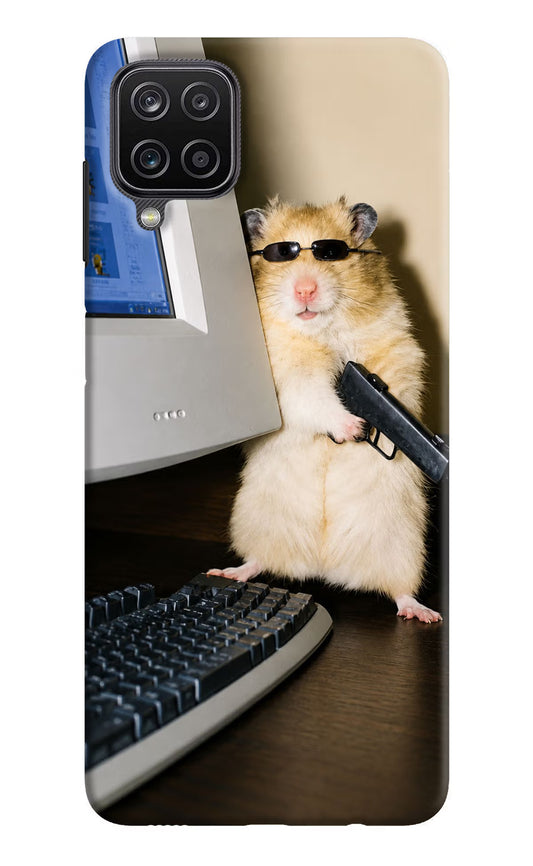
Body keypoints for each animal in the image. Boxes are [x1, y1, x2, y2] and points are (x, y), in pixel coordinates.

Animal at [208, 197, 442, 623]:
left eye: (331, 253)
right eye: (281, 254)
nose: (304, 289)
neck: (321, 330)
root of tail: (325, 567)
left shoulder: (398, 350)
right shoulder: (287, 377)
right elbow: (314, 397)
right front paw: (353, 428)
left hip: (403, 546)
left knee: (400, 590)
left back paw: (423, 613)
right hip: (257, 522)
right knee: (259, 561)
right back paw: (228, 572)